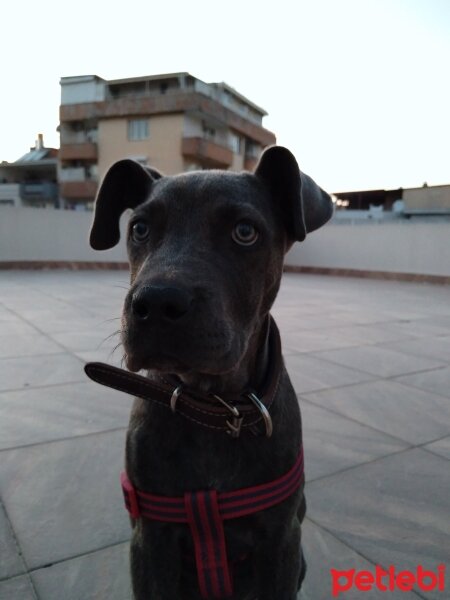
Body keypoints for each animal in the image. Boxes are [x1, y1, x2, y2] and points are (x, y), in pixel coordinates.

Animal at [86, 146, 332, 600]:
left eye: (244, 232)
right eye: (140, 229)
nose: (156, 303)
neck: (215, 409)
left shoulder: (281, 540)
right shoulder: (152, 540)